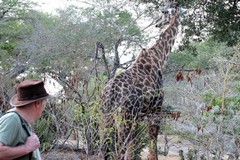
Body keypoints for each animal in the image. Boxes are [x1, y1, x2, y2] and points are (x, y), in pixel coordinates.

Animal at [98, 3, 187, 160]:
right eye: (163, 11)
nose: (157, 23)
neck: (159, 59)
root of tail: (110, 93)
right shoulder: (155, 110)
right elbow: (152, 149)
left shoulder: (138, 117)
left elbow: (131, 151)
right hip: (124, 118)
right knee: (117, 151)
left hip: (106, 116)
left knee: (102, 149)